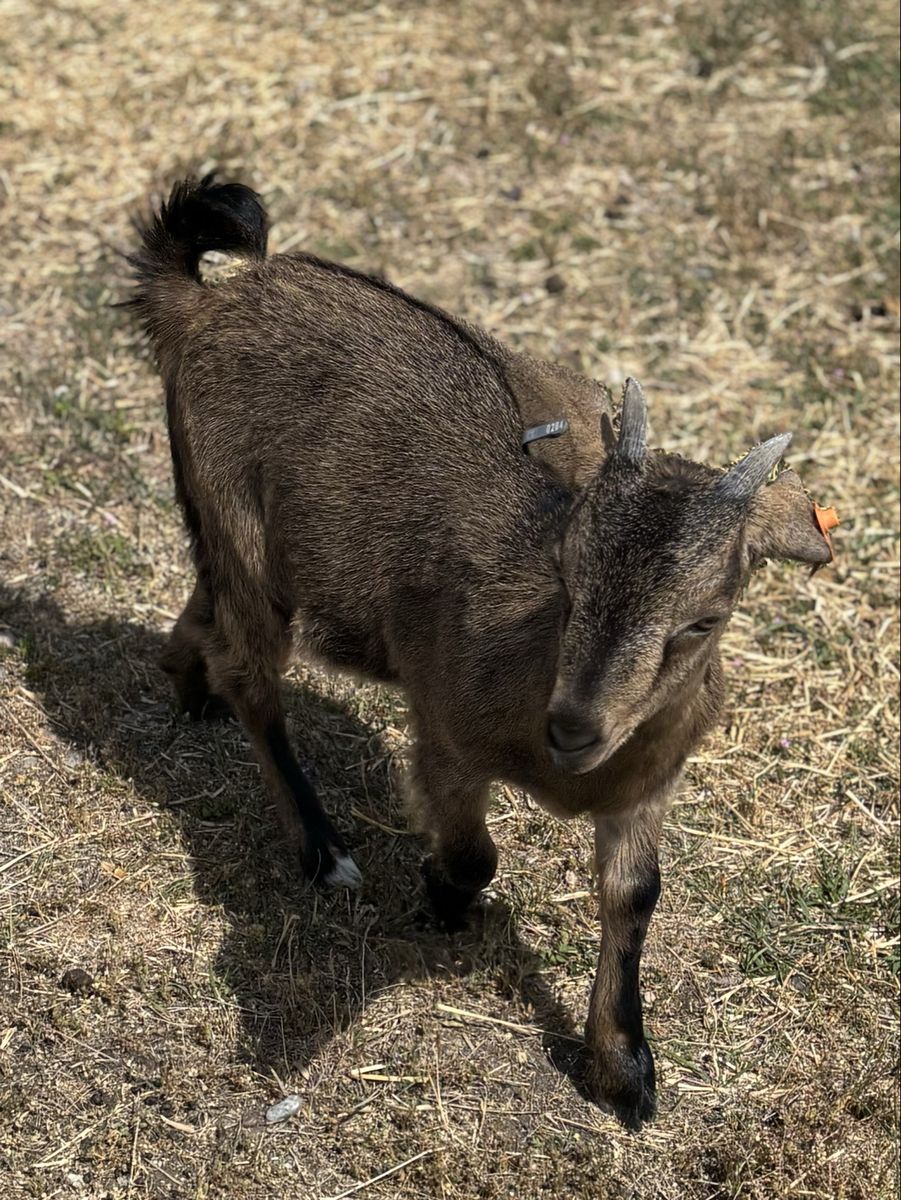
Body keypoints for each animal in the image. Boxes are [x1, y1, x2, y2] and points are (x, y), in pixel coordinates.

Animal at [126, 176, 834, 1128]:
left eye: (703, 620)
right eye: (567, 574)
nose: (572, 728)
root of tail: (211, 301)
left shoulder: (645, 783)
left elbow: (634, 894)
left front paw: (625, 1074)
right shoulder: (445, 733)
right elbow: (474, 854)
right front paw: (437, 898)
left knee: (208, 615)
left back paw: (185, 682)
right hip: (237, 513)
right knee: (254, 676)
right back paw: (324, 849)